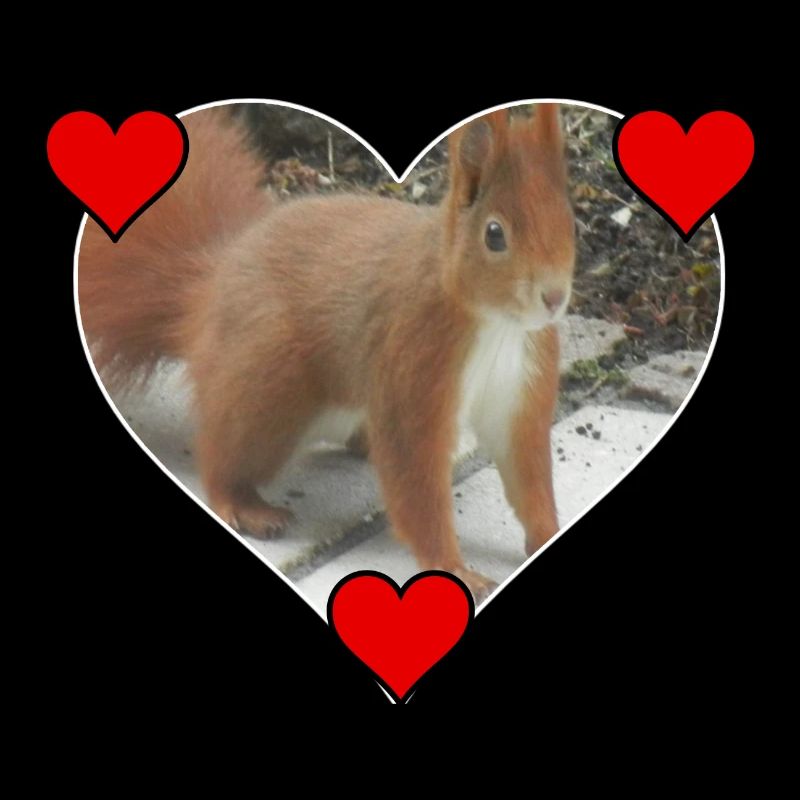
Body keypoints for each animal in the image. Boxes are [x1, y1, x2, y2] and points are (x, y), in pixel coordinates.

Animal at [78, 103, 575, 600]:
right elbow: (414, 472)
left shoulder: (522, 387)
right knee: (223, 455)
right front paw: (454, 567)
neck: (498, 324)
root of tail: (207, 289)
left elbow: (527, 470)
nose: (554, 298)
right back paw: (243, 503)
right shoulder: (413, 356)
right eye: (495, 235)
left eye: (568, 221)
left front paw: (545, 533)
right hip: (268, 385)